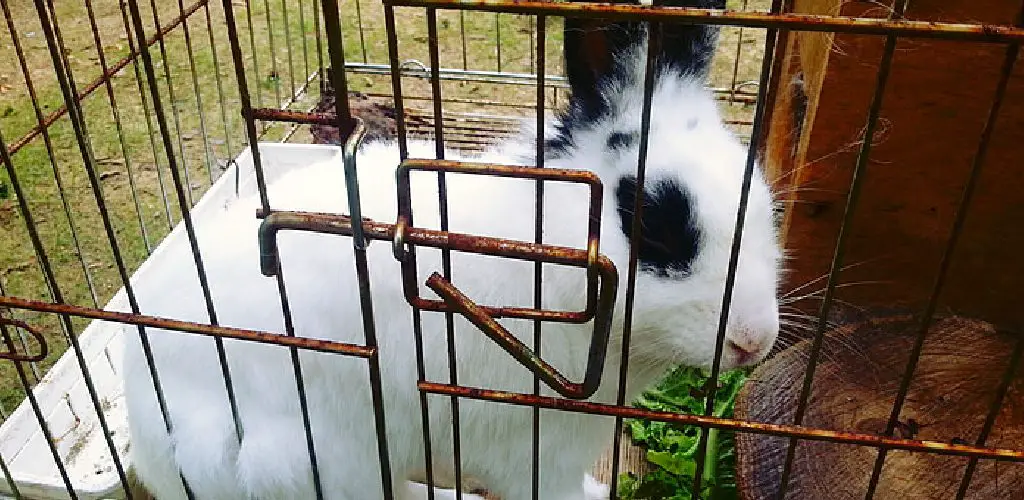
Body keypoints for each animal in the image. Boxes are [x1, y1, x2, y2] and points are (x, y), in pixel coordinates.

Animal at [119, 1, 778, 497]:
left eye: (765, 198)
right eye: (652, 225)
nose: (755, 341)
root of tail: (149, 444)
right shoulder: (535, 454)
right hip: (311, 462)